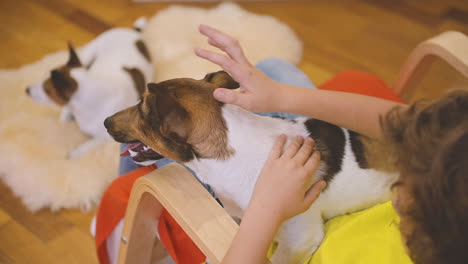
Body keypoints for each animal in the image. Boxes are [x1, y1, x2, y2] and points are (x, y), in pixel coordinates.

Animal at [25, 19, 153, 159]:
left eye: (46, 89)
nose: (27, 90)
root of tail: (133, 31)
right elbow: (64, 116)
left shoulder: (104, 136)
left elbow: (88, 144)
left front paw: (74, 153)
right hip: (88, 53)